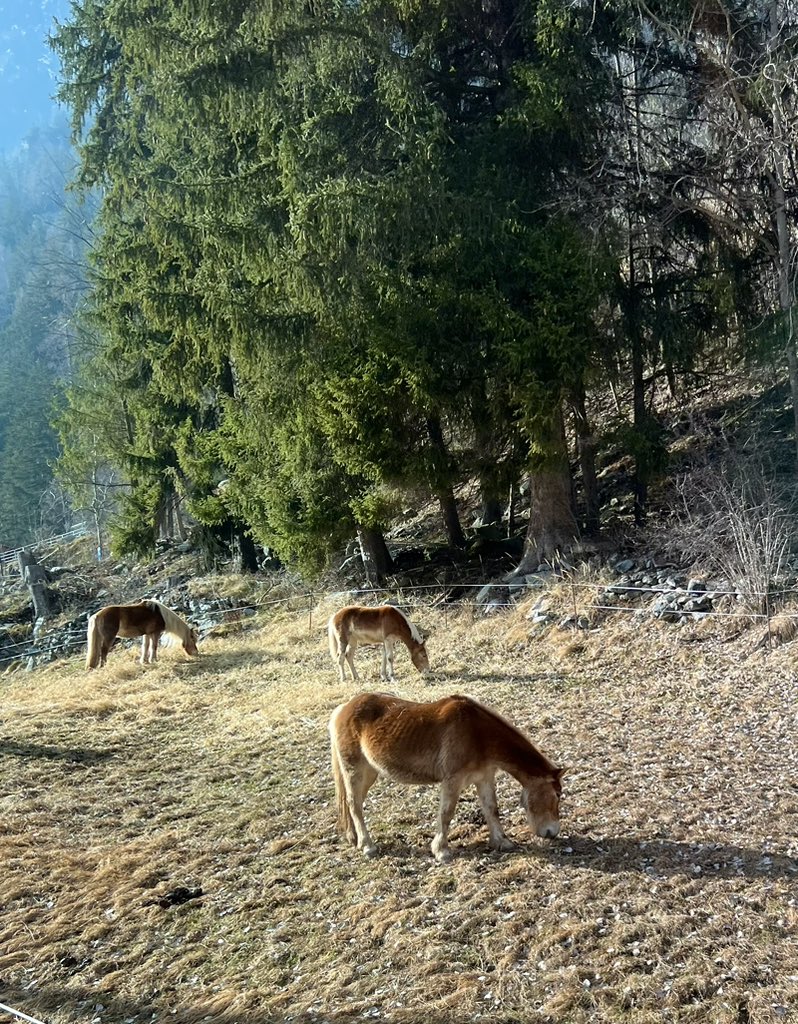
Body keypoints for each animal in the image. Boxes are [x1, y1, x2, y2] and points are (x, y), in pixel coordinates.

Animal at [327, 692, 565, 860]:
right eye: (556, 796)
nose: (552, 832)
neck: (477, 734)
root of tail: (342, 709)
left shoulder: (484, 778)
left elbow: (491, 809)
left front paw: (502, 841)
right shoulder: (453, 781)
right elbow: (446, 813)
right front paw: (441, 851)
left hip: (370, 773)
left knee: (354, 804)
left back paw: (355, 838)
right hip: (355, 771)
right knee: (354, 805)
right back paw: (368, 846)